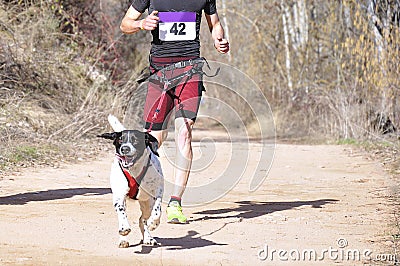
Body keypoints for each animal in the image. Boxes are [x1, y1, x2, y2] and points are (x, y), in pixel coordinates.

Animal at [98, 114, 162, 247]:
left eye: (135, 140)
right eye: (120, 140)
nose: (125, 148)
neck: (134, 170)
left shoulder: (158, 191)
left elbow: (157, 210)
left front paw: (154, 223)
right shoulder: (119, 195)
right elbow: (121, 212)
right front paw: (124, 229)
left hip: (147, 203)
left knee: (143, 219)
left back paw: (148, 237)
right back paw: (123, 240)